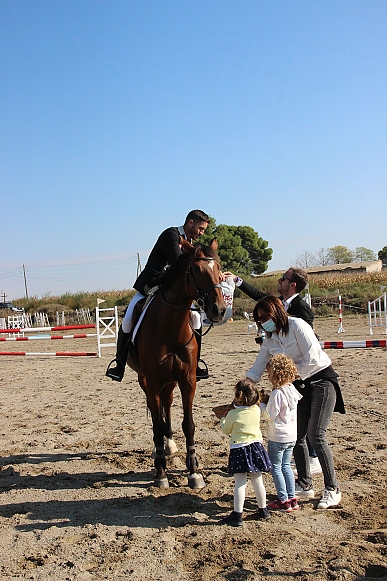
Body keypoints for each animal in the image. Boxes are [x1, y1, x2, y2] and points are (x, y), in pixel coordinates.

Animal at [127, 238, 226, 488]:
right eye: (197, 270)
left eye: (220, 269)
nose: (219, 310)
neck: (170, 328)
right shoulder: (153, 381)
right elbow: (157, 424)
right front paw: (161, 473)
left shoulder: (187, 380)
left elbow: (188, 425)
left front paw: (194, 472)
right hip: (145, 380)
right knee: (157, 413)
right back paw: (159, 450)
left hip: (170, 382)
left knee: (168, 404)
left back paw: (170, 445)